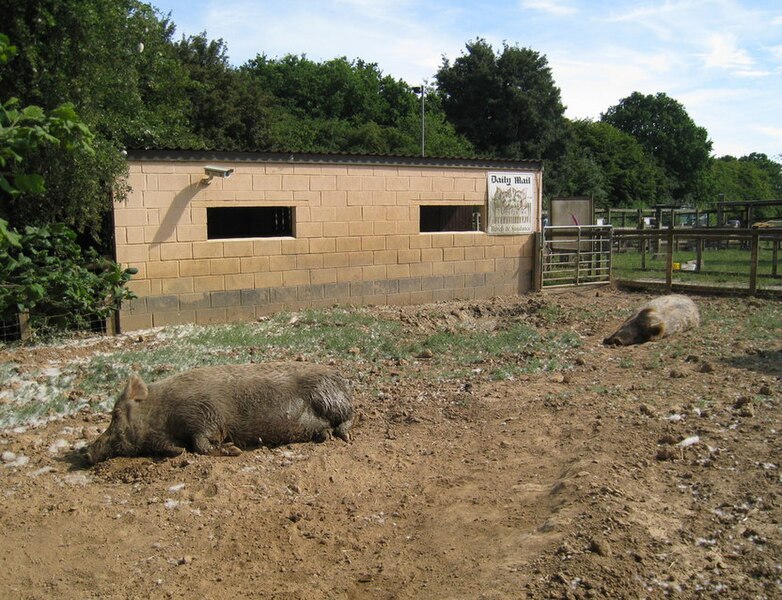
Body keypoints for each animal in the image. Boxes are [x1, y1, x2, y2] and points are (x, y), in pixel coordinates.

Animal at [86, 360, 356, 464]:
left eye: (116, 415)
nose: (85, 452)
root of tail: (340, 378)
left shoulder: (205, 414)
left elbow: (201, 445)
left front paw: (234, 450)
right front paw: (178, 450)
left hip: (329, 399)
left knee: (351, 417)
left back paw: (343, 436)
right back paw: (323, 436)